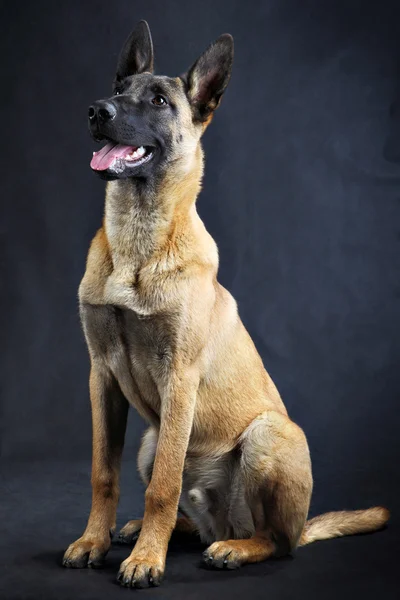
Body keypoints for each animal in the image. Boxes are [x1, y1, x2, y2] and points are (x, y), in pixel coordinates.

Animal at [61, 21, 388, 588]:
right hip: (150, 440)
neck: (138, 242)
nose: (97, 110)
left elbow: (164, 487)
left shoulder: (179, 379)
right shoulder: (101, 376)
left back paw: (233, 548)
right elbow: (104, 473)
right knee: (198, 520)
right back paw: (160, 531)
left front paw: (147, 560)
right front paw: (94, 542)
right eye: (120, 88)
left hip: (267, 435)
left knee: (275, 541)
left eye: (159, 100)